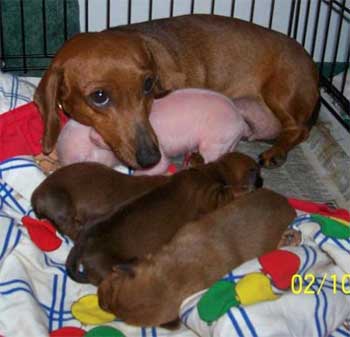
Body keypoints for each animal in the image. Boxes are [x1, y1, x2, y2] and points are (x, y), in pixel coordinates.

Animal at [34, 14, 318, 169]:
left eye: (148, 84)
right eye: (99, 97)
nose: (151, 158)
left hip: (280, 93)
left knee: (299, 130)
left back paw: (276, 151)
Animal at [65, 151, 262, 284]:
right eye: (259, 174)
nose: (261, 183)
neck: (211, 171)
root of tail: (85, 242)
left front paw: (196, 157)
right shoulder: (211, 197)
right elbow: (227, 194)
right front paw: (243, 190)